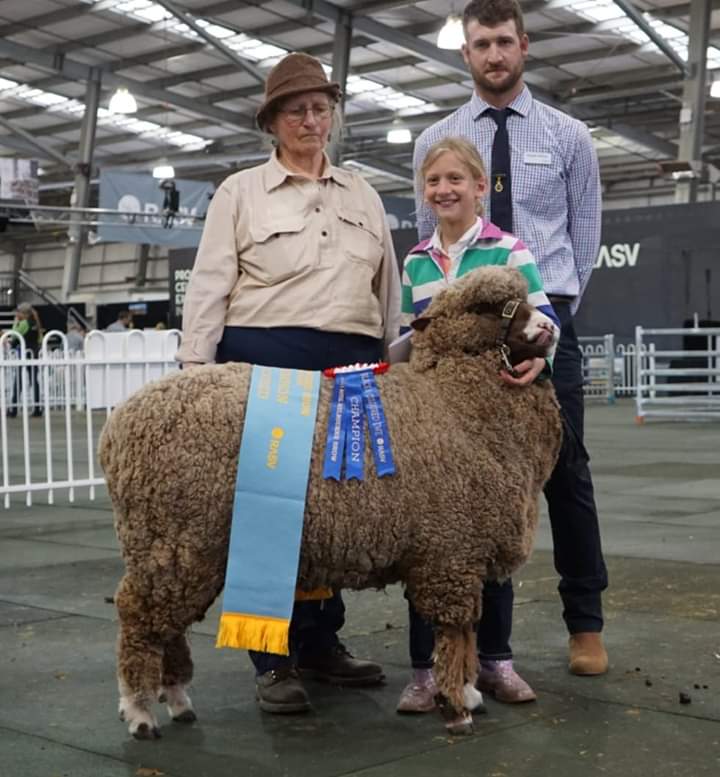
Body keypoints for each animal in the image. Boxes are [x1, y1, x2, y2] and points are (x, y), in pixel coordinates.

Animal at [100, 266, 564, 740]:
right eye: (483, 308)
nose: (548, 327)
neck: (455, 403)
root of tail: (120, 425)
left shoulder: (461, 550)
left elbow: (468, 632)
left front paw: (468, 693)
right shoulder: (451, 551)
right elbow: (455, 633)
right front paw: (456, 706)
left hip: (180, 549)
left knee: (167, 623)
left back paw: (178, 701)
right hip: (173, 539)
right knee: (138, 616)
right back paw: (139, 712)